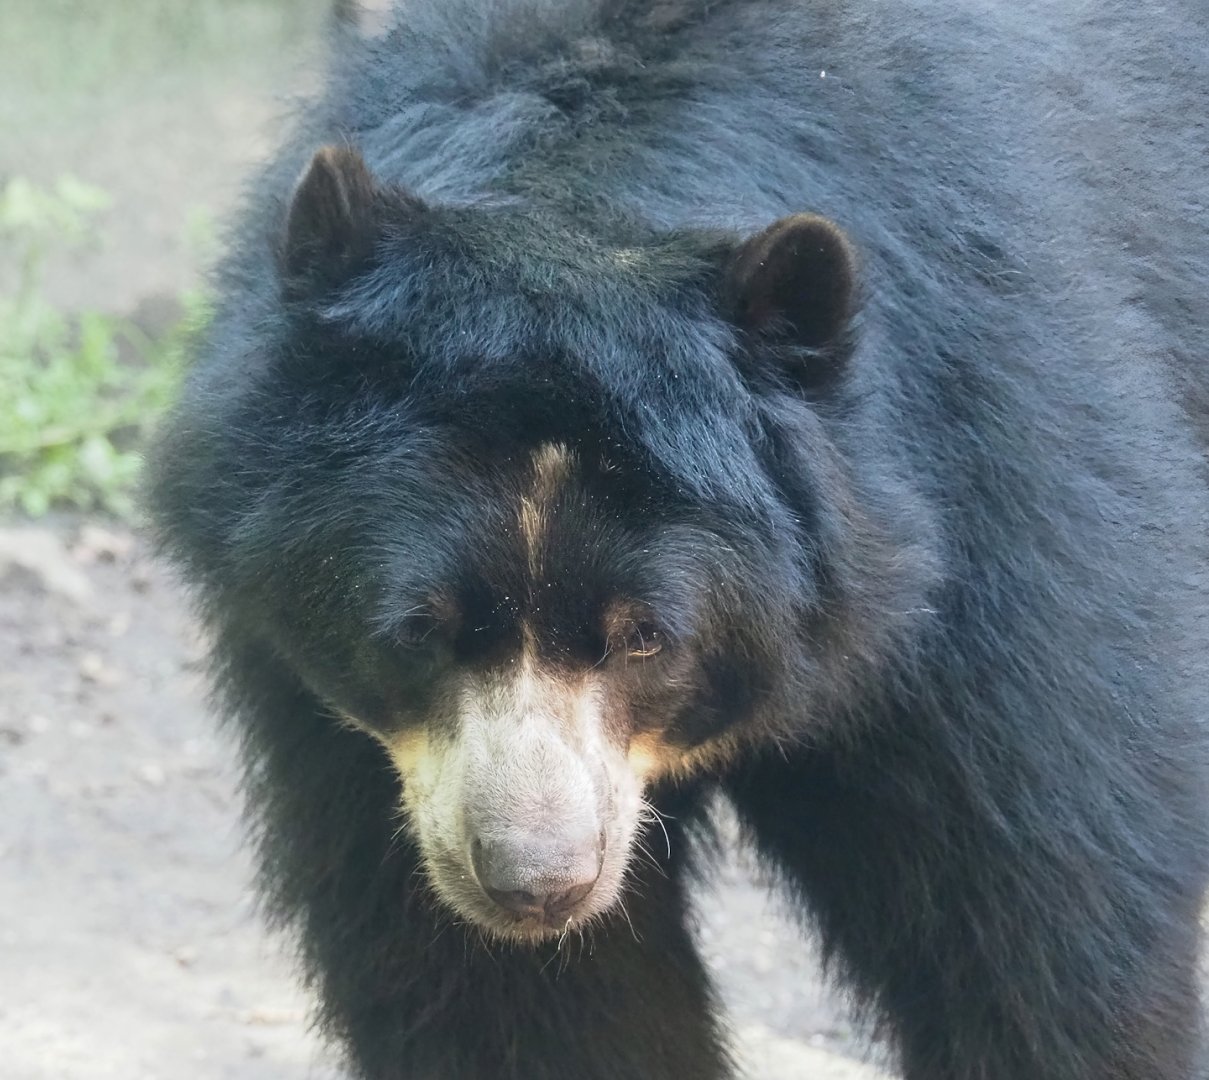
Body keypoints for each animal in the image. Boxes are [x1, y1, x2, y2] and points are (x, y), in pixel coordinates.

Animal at [147, 1, 1209, 1077]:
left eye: (647, 636)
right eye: (417, 629)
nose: (535, 880)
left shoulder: (995, 505)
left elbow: (1036, 919)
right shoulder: (344, 728)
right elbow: (511, 999)